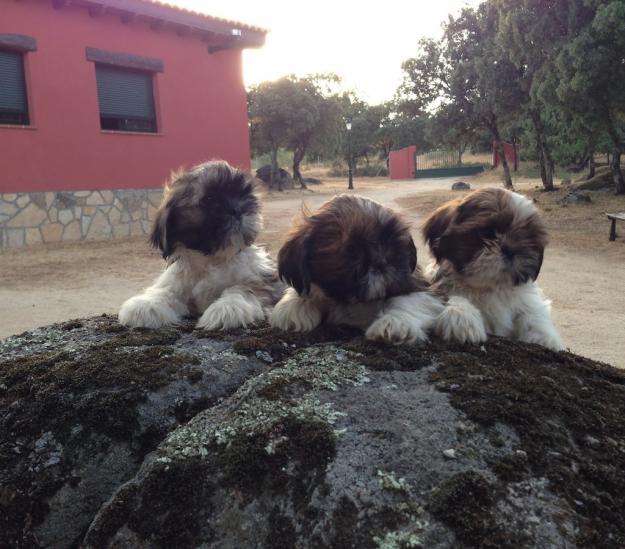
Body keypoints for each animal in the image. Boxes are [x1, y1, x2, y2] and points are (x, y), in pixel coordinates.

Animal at [117, 159, 282, 330]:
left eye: (245, 195)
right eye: (209, 199)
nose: (237, 209)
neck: (211, 260)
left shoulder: (262, 282)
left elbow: (243, 289)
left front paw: (227, 308)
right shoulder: (179, 284)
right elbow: (167, 291)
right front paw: (145, 305)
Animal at [270, 195, 444, 342]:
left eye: (391, 244)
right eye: (351, 249)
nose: (380, 261)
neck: (352, 301)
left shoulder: (418, 284)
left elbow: (407, 300)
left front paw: (395, 322)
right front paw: (293, 307)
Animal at [422, 188, 564, 352]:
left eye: (527, 238)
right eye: (488, 232)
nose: (511, 249)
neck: (488, 288)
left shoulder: (527, 301)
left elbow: (534, 313)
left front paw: (546, 338)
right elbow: (447, 297)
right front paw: (461, 318)